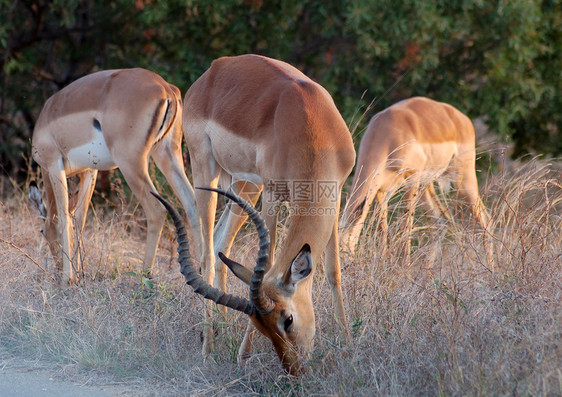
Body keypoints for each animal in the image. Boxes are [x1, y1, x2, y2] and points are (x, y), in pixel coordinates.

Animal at [30, 68, 201, 284]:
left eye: (41, 231)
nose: (58, 269)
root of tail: (166, 88)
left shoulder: (53, 166)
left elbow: (62, 217)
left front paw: (67, 280)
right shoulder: (89, 171)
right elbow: (79, 218)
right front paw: (79, 274)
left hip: (131, 163)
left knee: (157, 210)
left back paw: (145, 276)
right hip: (167, 153)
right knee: (192, 203)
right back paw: (203, 273)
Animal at [180, 55, 354, 374]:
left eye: (288, 319)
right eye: (264, 326)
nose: (295, 370)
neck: (309, 124)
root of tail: (214, 69)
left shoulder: (333, 195)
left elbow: (333, 270)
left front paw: (348, 344)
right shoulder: (273, 196)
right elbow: (271, 261)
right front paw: (243, 355)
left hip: (244, 186)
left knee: (221, 245)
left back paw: (220, 328)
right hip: (207, 169)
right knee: (207, 255)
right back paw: (208, 349)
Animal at [336, 96, 490, 260]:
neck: (384, 133)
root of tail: (462, 118)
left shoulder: (412, 179)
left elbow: (406, 228)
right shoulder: (381, 191)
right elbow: (382, 231)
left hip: (462, 180)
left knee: (485, 220)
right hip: (426, 185)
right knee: (440, 220)